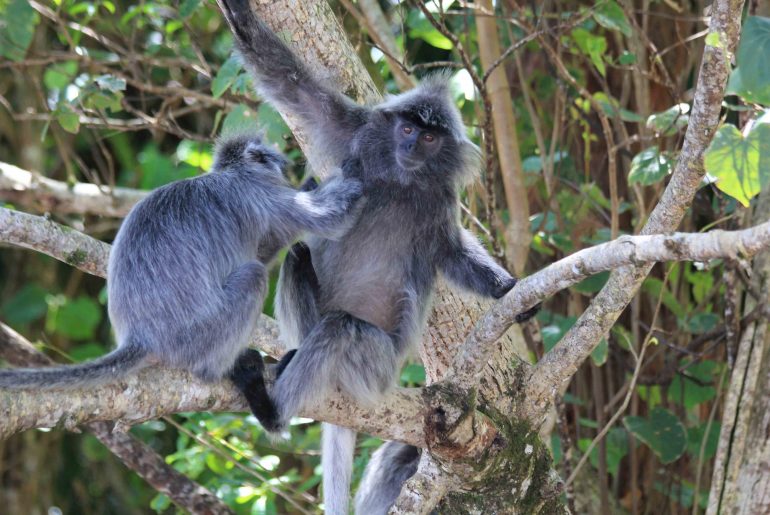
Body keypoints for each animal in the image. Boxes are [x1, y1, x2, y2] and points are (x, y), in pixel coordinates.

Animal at [0, 135, 364, 426]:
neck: (232, 173)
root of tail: (140, 335)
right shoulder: (264, 195)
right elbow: (329, 220)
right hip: (200, 334)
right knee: (253, 275)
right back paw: (221, 370)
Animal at [216, 2, 536, 512]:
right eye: (406, 129)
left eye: (429, 139)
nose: (410, 145)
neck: (401, 181)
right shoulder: (355, 134)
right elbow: (292, 87)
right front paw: (240, 18)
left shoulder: (440, 202)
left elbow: (452, 255)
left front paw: (508, 289)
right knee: (299, 262)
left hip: (373, 369)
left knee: (340, 327)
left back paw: (273, 410)